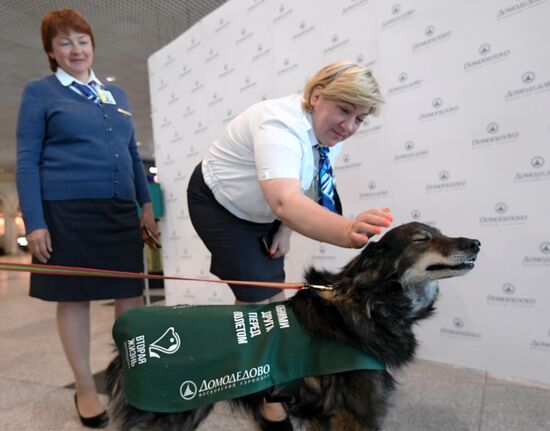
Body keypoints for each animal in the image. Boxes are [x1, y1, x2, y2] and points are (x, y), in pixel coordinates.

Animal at [105, 223, 480, 431]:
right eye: (421, 240)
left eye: (441, 233)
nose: (476, 243)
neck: (370, 304)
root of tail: (125, 341)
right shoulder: (356, 414)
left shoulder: (322, 416)